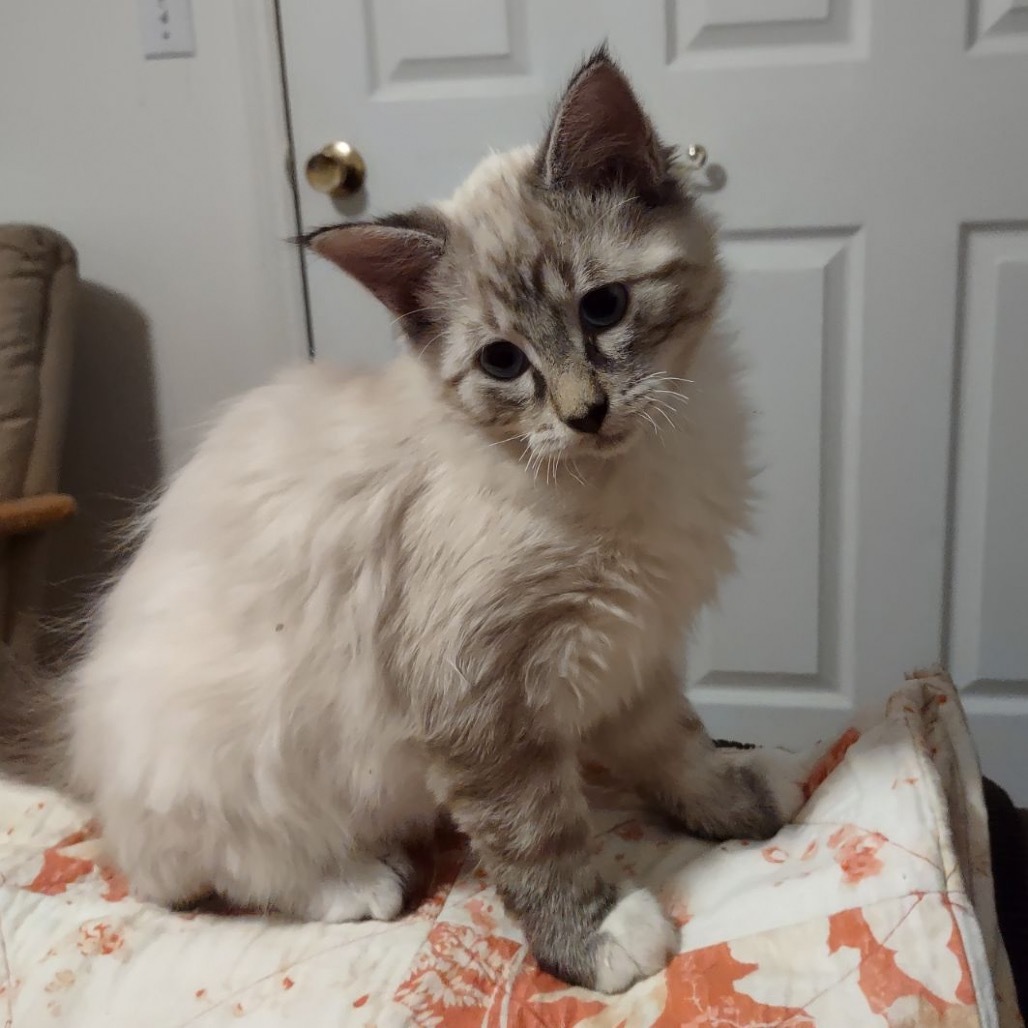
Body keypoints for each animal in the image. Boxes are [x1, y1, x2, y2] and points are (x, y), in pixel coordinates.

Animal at [0, 50, 797, 995]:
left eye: (602, 309)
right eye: (504, 363)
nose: (585, 414)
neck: (620, 480)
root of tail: (78, 733)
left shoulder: (629, 649)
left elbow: (676, 746)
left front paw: (735, 801)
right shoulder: (479, 699)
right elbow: (541, 838)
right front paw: (595, 940)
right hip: (236, 760)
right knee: (198, 874)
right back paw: (361, 880)